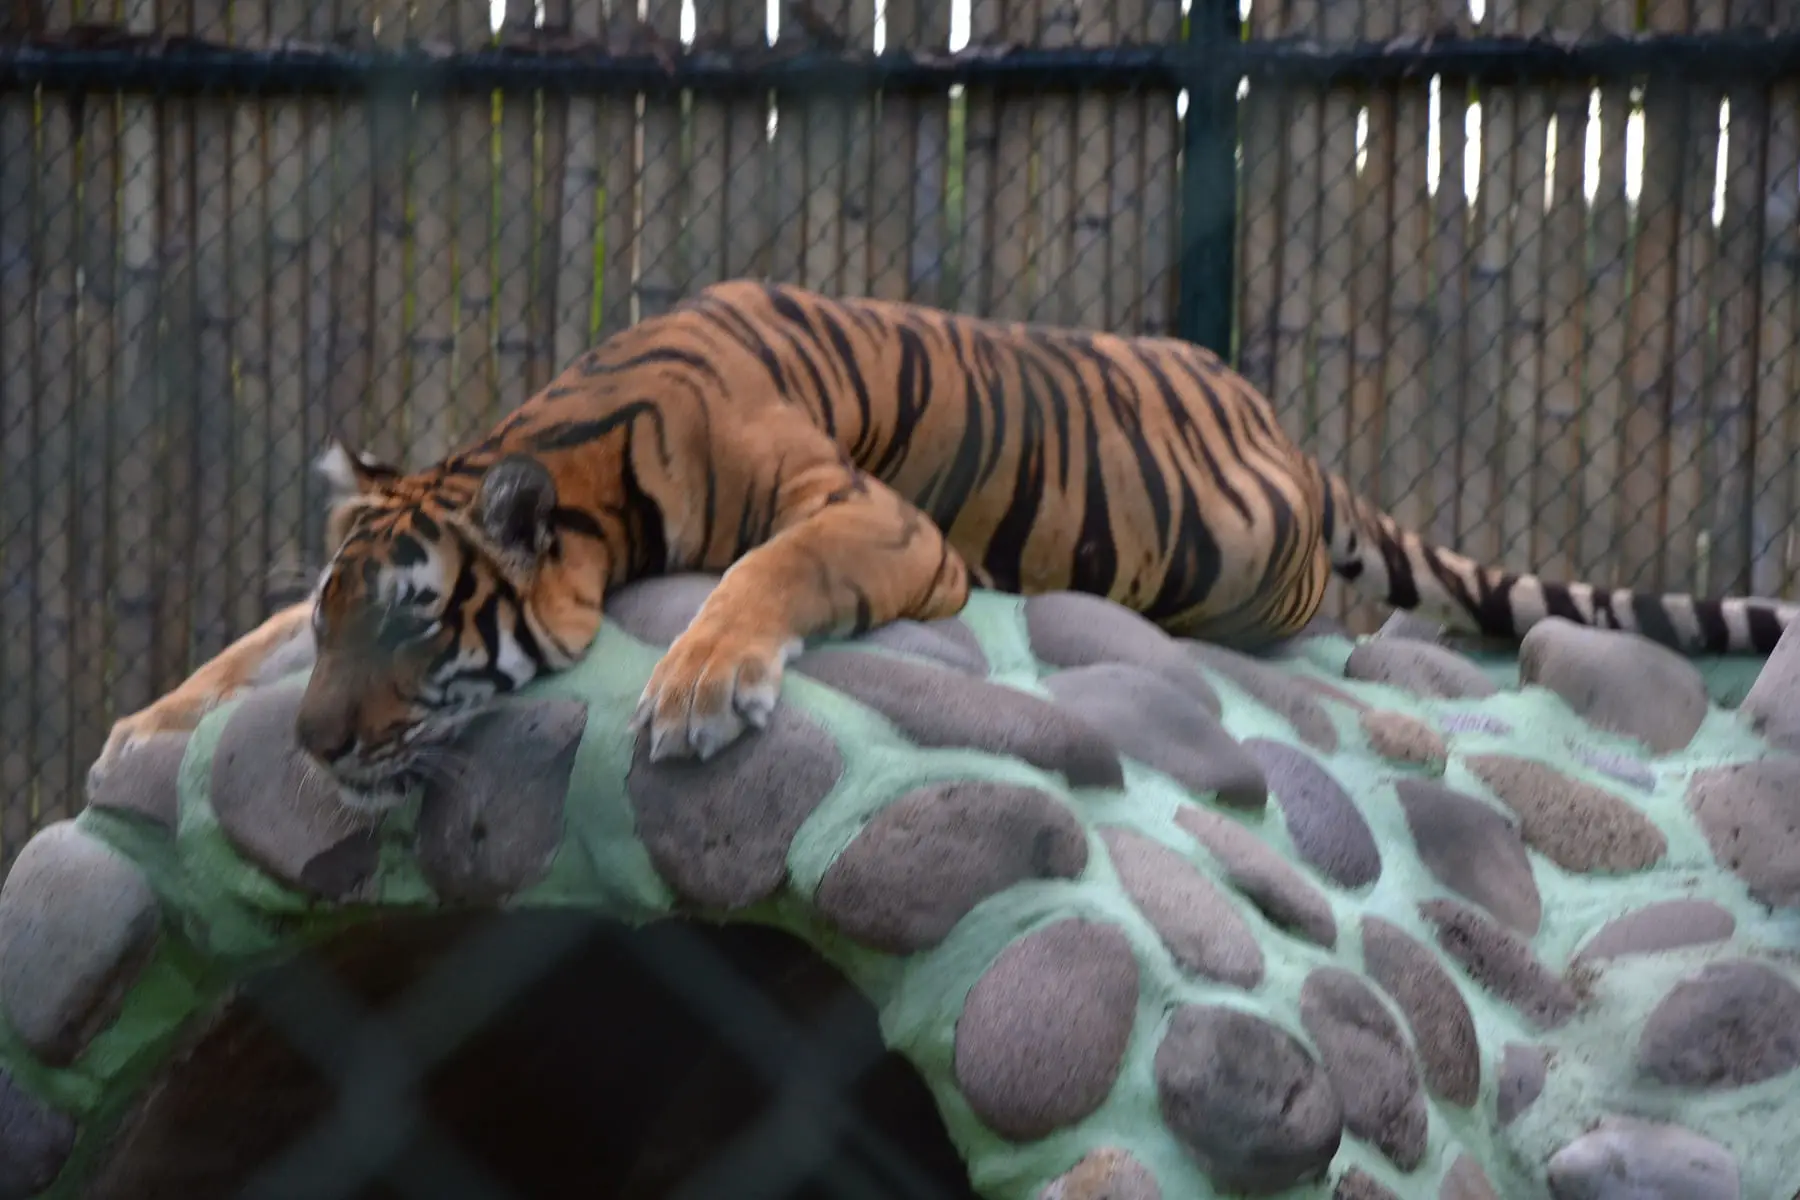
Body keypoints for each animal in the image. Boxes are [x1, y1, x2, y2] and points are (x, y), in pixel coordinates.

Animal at [88, 278, 1799, 811]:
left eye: (421, 624)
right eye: (337, 622)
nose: (313, 749)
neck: (565, 437)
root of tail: (1291, 428)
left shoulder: (875, 521)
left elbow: (764, 576)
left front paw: (698, 694)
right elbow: (229, 646)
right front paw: (142, 729)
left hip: (1250, 555)